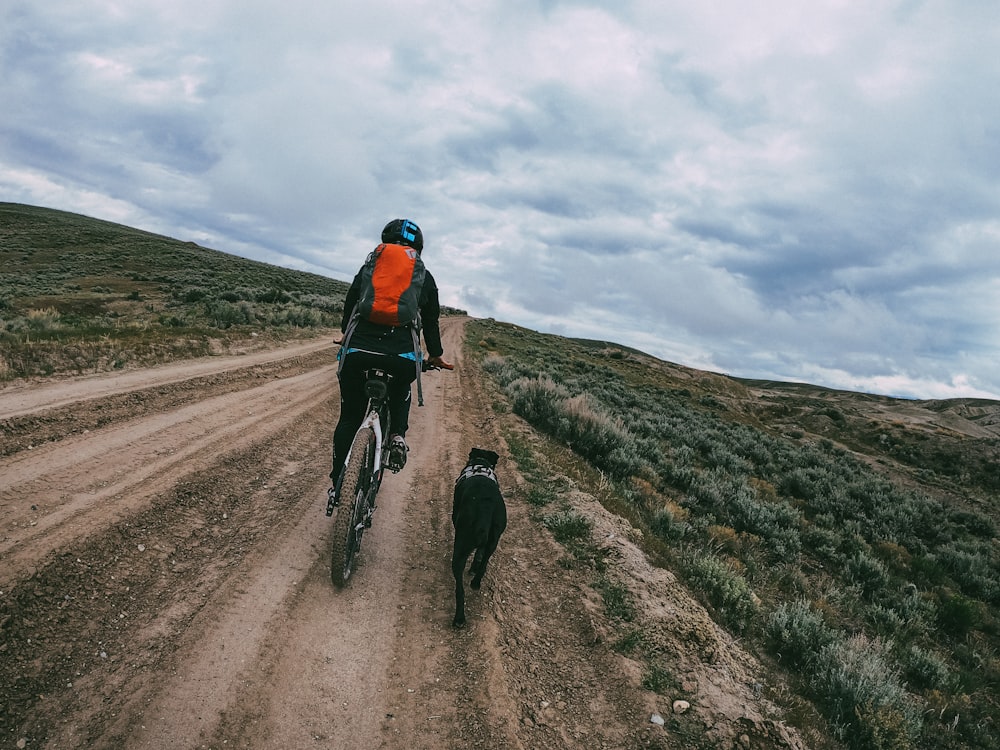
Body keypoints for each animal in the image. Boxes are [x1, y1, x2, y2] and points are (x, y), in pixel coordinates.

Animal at [454, 452, 508, 628]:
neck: (480, 465)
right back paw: (476, 581)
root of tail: (485, 504)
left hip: (460, 549)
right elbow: (479, 554)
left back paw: (459, 618)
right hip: (493, 540)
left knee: (459, 589)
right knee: (484, 562)